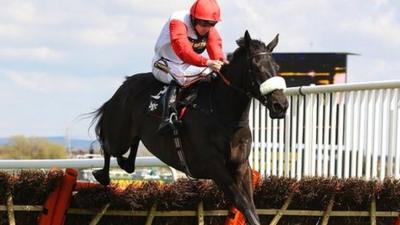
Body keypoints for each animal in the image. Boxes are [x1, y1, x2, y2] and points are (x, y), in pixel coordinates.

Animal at [92, 30, 290, 225]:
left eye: (277, 66)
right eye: (256, 67)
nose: (281, 105)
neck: (221, 112)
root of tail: (124, 85)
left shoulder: (241, 165)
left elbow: (251, 206)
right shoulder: (213, 165)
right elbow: (242, 203)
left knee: (128, 155)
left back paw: (125, 163)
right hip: (119, 136)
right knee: (108, 146)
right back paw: (102, 175)